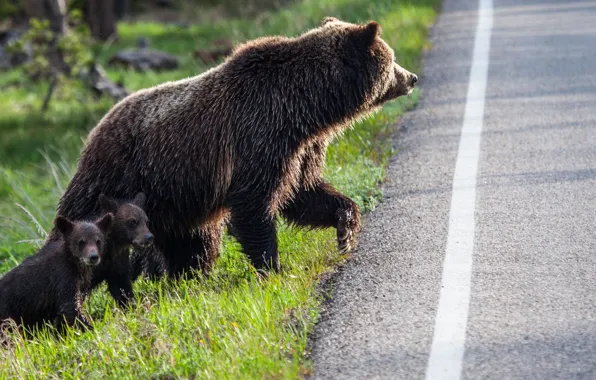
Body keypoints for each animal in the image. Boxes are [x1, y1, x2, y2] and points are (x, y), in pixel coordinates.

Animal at [51, 17, 416, 280]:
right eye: (392, 59)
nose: (411, 77)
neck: (307, 109)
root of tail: (94, 131)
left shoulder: (301, 148)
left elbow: (304, 193)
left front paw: (345, 227)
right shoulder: (259, 135)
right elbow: (255, 204)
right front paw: (274, 267)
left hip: (175, 205)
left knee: (195, 245)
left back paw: (190, 279)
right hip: (117, 179)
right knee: (76, 220)